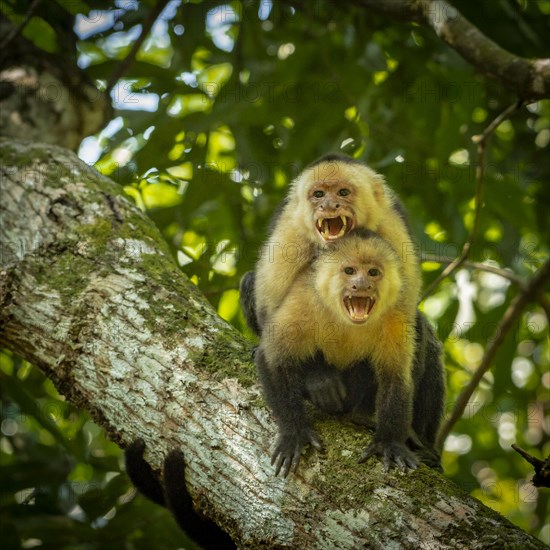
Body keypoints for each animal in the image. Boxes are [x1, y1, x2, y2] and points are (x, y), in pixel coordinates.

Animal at [256, 230, 446, 478]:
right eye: (350, 271)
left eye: (373, 272)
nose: (361, 285)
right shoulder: (306, 300)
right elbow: (273, 358)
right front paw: (294, 432)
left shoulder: (396, 312)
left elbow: (395, 377)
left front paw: (390, 443)